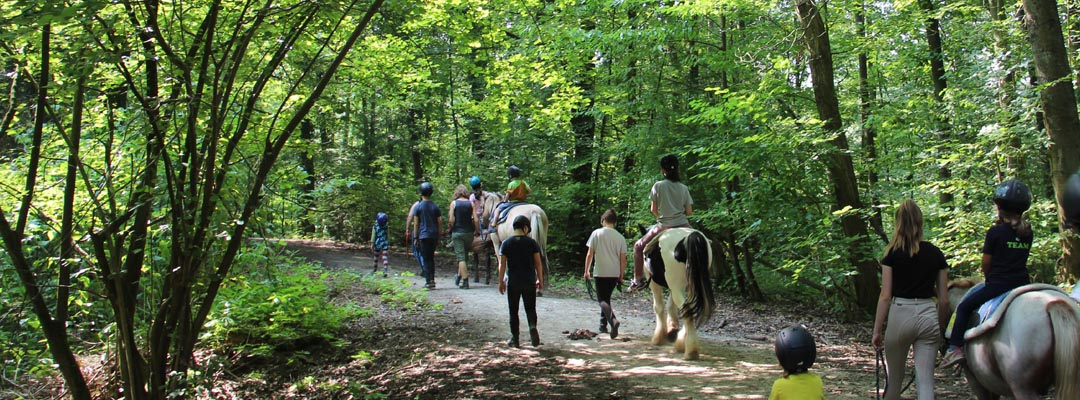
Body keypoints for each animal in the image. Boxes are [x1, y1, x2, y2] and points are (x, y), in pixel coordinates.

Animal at [643, 227, 712, 361]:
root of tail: (691, 236)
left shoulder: (653, 282)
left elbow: (659, 307)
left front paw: (658, 338)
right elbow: (671, 305)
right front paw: (672, 328)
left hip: (675, 283)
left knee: (686, 308)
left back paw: (690, 351)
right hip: (689, 283)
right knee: (688, 308)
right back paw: (683, 343)